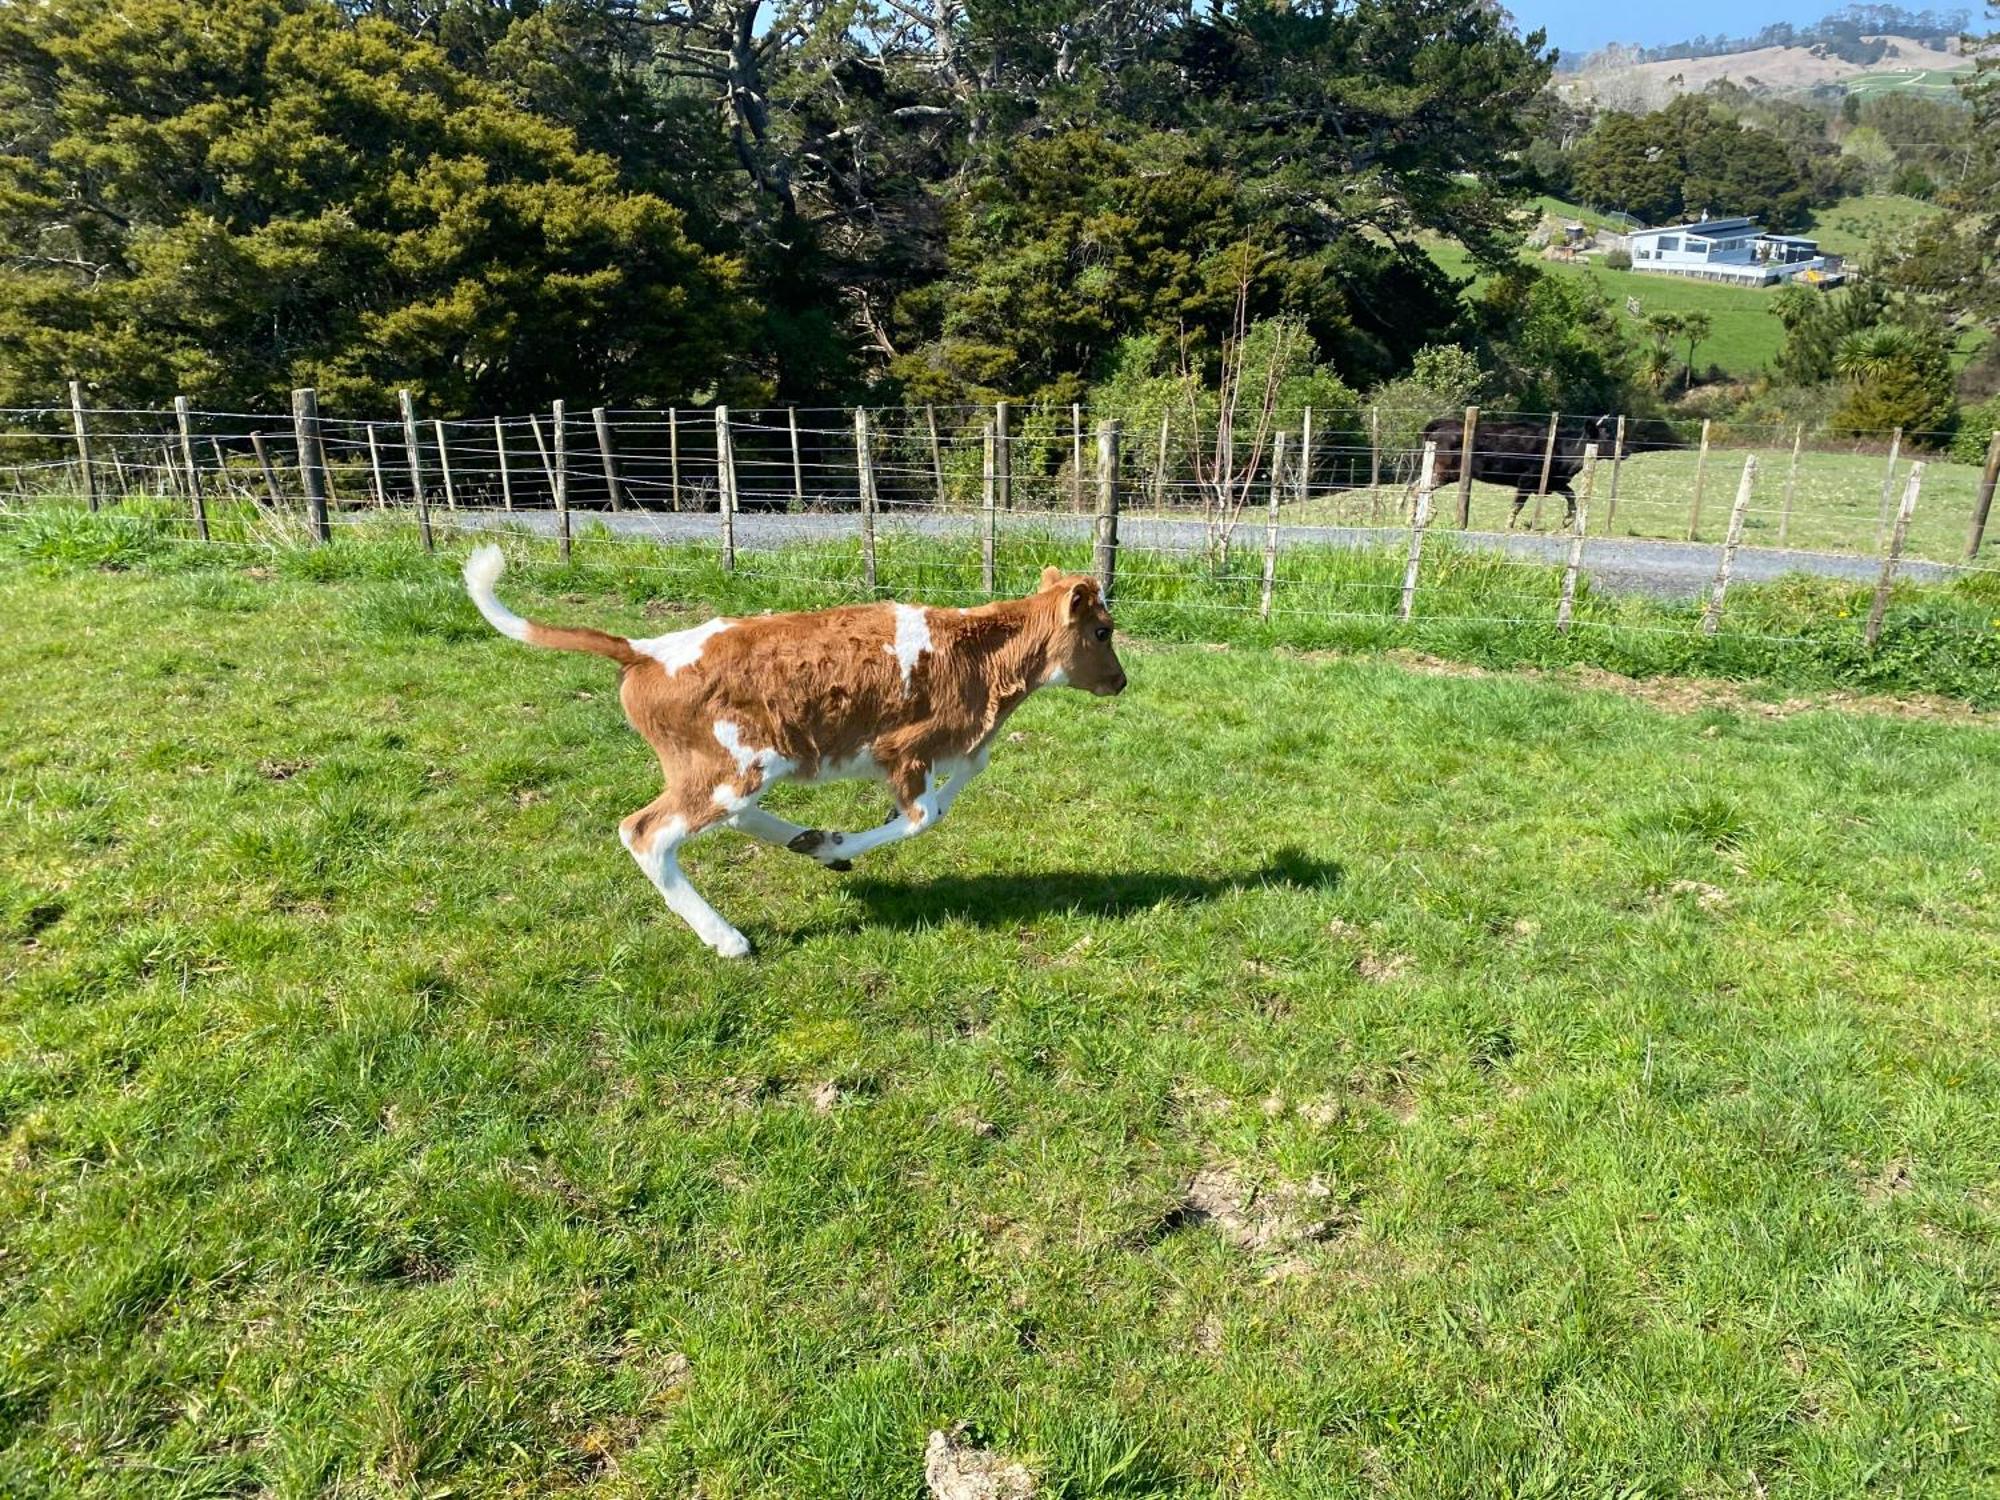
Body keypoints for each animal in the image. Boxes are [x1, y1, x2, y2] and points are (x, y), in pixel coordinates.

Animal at [464, 548, 1128, 956]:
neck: (981, 659)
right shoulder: (903, 749)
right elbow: (924, 816)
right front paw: (842, 844)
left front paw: (828, 845)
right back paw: (730, 938)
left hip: (734, 768)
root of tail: (645, 650)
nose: (1121, 682)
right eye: (1102, 631)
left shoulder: (961, 741)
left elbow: (968, 774)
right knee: (646, 831)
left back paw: (806, 841)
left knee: (723, 818)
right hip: (734, 766)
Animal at [1416, 414, 1616, 532]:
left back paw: (1415, 516)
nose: (1622, 451)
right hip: (1446, 471)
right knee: (1420, 487)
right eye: (1607, 437)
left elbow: (1572, 496)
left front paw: (1567, 520)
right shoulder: (1527, 480)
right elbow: (1517, 506)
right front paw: (1508, 526)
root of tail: (1444, 423)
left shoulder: (1554, 481)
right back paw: (1428, 514)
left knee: (1416, 486)